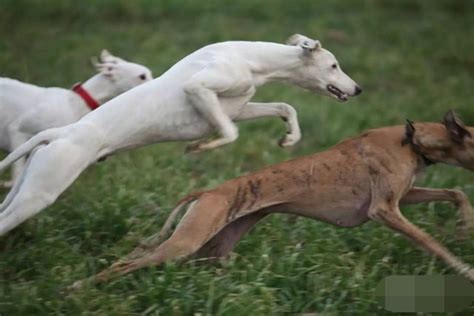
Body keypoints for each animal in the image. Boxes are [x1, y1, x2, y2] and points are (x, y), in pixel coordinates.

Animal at [72, 109, 474, 288]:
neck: (411, 139)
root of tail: (209, 191)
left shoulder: (404, 196)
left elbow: (455, 192)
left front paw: (464, 227)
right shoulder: (384, 210)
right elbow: (431, 243)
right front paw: (463, 268)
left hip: (212, 249)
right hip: (186, 242)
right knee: (125, 263)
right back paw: (77, 288)